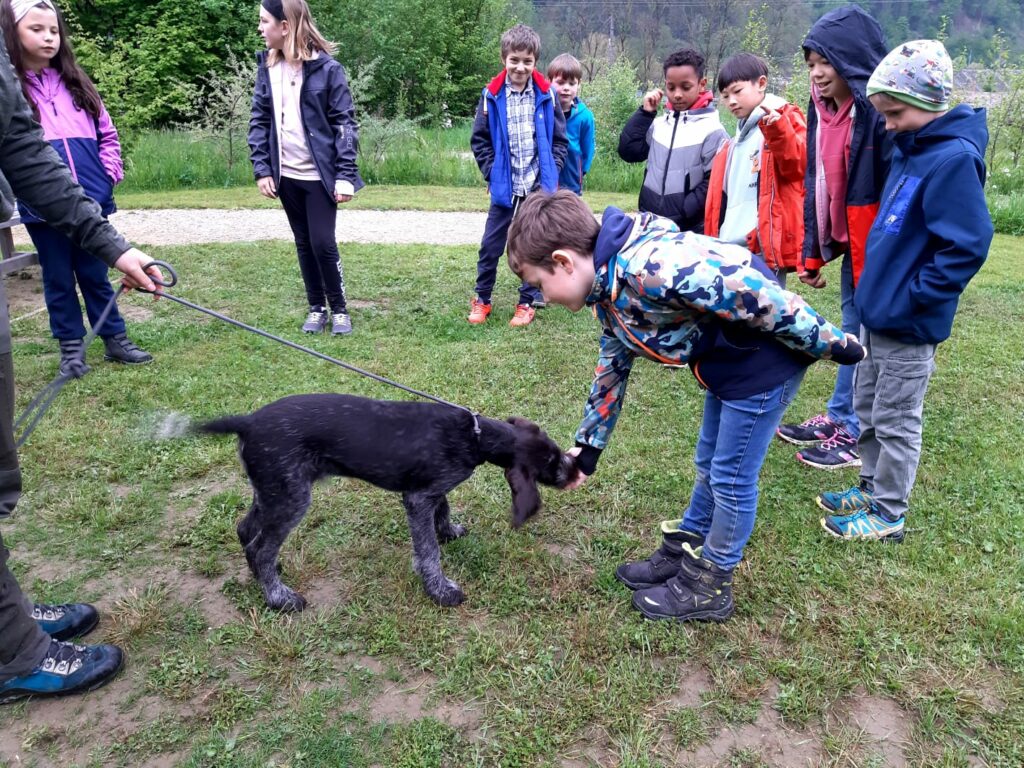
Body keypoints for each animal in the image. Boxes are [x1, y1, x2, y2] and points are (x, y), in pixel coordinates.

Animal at [197, 393, 577, 610]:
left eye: (557, 453)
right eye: (554, 464)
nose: (575, 471)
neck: (475, 435)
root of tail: (247, 422)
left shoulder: (431, 489)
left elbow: (443, 510)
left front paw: (448, 532)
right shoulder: (418, 498)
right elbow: (428, 552)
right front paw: (440, 590)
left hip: (272, 491)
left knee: (246, 531)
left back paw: (263, 577)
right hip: (292, 498)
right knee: (261, 547)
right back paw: (279, 598)